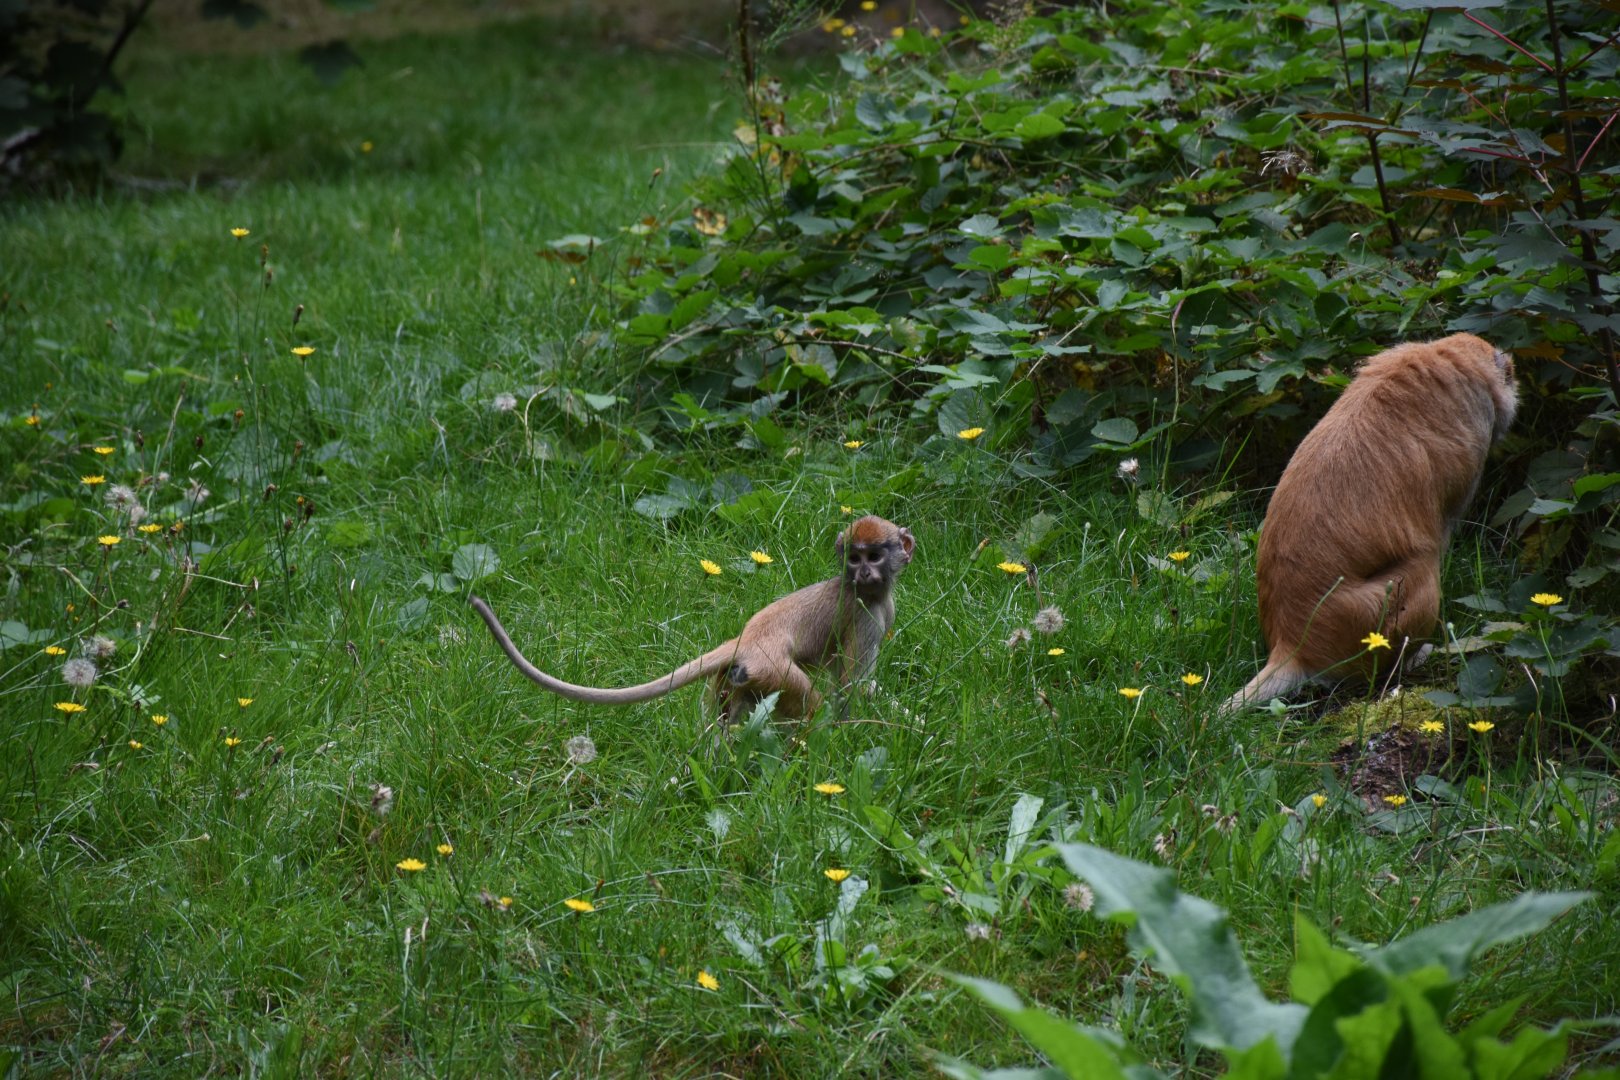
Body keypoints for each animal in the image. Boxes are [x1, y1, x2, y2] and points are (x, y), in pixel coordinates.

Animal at [469, 515, 915, 722]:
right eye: (854, 558)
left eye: (873, 556)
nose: (863, 572)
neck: (864, 590)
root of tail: (745, 639)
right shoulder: (866, 614)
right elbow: (849, 688)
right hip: (774, 671)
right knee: (807, 700)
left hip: (741, 678)